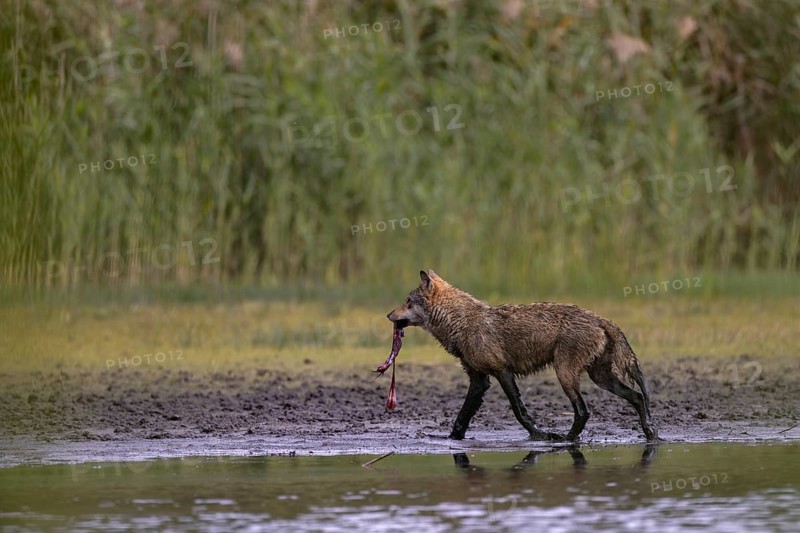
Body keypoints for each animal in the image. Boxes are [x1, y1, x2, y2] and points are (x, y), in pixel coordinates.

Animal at [386, 270, 658, 442]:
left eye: (408, 301)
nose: (389, 315)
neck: (462, 323)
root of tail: (601, 319)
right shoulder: (479, 380)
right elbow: (462, 416)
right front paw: (452, 439)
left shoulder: (502, 372)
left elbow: (519, 411)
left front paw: (539, 435)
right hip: (600, 378)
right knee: (637, 397)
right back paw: (651, 434)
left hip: (566, 375)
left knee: (584, 411)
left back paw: (565, 439)